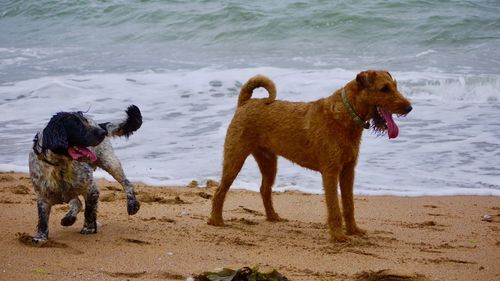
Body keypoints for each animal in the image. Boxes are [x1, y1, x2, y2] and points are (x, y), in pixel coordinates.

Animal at [29, 104, 142, 243]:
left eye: (86, 122)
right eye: (77, 125)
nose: (102, 133)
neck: (60, 165)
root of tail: (99, 125)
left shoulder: (91, 189)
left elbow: (89, 211)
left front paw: (88, 228)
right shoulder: (42, 196)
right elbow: (42, 218)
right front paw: (40, 237)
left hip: (109, 162)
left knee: (127, 183)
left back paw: (132, 205)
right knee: (77, 202)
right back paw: (68, 218)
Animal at [209, 70, 412, 241]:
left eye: (394, 85)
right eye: (384, 88)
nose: (409, 108)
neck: (346, 115)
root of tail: (245, 102)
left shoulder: (348, 170)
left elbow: (349, 204)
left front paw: (353, 230)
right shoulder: (330, 172)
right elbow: (334, 207)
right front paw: (338, 236)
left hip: (269, 162)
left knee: (264, 189)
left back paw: (273, 217)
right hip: (235, 158)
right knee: (220, 190)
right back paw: (216, 220)